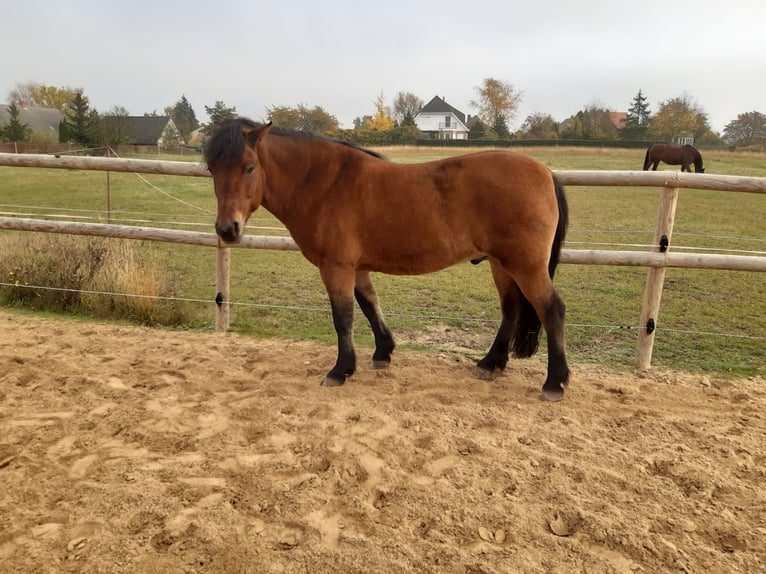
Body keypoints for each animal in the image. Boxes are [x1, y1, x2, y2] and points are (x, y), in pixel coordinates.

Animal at [207, 119, 572, 402]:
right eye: (212, 169)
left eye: (249, 167)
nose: (227, 229)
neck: (324, 183)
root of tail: (545, 172)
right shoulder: (357, 268)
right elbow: (370, 305)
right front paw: (383, 352)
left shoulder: (336, 267)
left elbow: (343, 317)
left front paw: (341, 369)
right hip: (502, 264)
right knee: (511, 309)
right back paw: (490, 363)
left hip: (525, 266)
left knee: (550, 308)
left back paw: (554, 382)